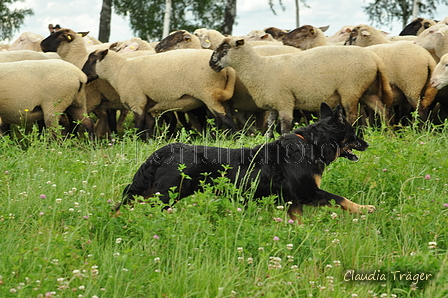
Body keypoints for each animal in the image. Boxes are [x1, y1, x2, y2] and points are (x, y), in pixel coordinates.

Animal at [82, 48, 240, 132]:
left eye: (91, 59)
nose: (82, 75)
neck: (118, 70)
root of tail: (226, 69)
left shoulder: (136, 101)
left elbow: (139, 126)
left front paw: (136, 142)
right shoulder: (147, 105)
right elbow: (148, 126)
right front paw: (146, 143)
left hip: (208, 93)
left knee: (223, 117)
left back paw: (229, 139)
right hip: (219, 94)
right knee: (225, 116)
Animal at [115, 102, 374, 221]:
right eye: (354, 134)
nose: (367, 144)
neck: (312, 144)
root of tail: (166, 150)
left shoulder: (293, 201)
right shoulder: (307, 191)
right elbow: (341, 199)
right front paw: (364, 209)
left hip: (155, 192)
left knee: (123, 204)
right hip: (166, 194)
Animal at [208, 36, 394, 133]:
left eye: (225, 48)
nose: (211, 63)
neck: (259, 67)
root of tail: (375, 59)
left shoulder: (285, 102)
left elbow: (284, 129)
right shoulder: (274, 105)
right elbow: (269, 130)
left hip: (350, 90)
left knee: (352, 115)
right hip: (367, 91)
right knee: (383, 111)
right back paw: (388, 135)